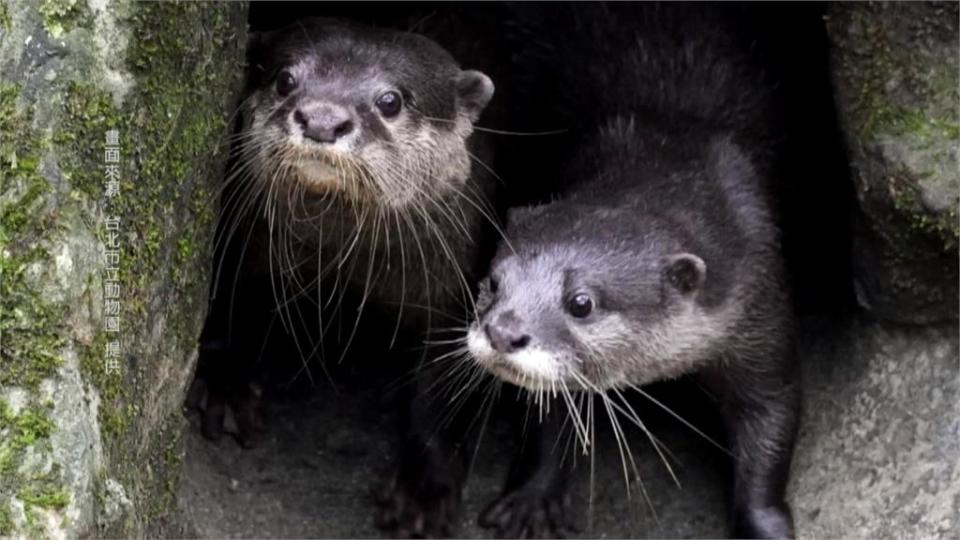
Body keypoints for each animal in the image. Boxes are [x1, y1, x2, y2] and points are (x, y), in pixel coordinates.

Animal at [191, 15, 498, 536]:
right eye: (284, 79)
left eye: (391, 100)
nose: (321, 120)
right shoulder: (240, 236)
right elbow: (227, 299)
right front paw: (225, 387)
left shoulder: (453, 292)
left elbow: (443, 390)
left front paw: (424, 488)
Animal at [464, 4, 804, 540]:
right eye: (493, 282)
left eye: (581, 302)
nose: (503, 331)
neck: (672, 147)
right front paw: (533, 498)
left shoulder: (759, 298)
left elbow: (772, 413)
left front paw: (765, 524)